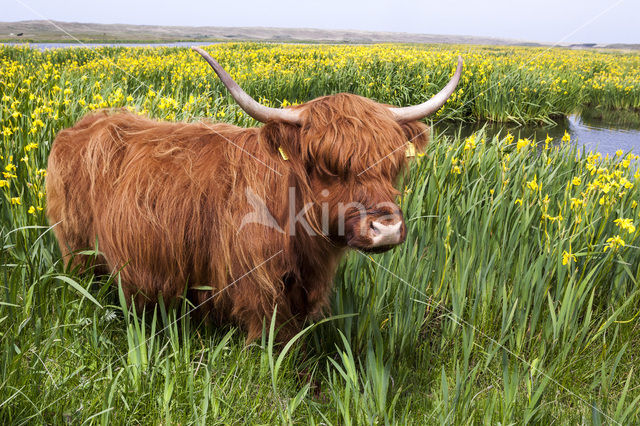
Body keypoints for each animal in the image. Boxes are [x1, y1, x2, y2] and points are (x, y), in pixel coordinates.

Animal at [47, 48, 462, 342]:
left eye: (392, 164)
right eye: (326, 166)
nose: (386, 228)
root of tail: (83, 124)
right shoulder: (255, 284)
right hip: (75, 248)